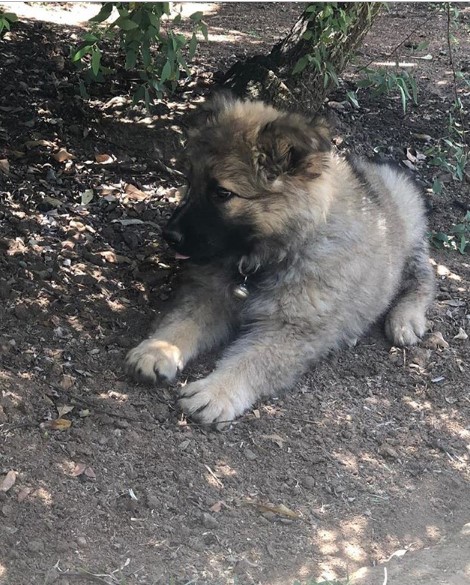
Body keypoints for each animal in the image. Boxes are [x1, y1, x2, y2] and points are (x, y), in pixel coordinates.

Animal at [125, 94, 434, 424]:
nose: (169, 235)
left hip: (409, 231)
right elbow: (182, 321)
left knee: (424, 277)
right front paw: (157, 349)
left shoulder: (291, 330)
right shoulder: (210, 295)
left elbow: (253, 361)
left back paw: (406, 319)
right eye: (189, 182)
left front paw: (216, 392)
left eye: (222, 193)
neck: (266, 258)